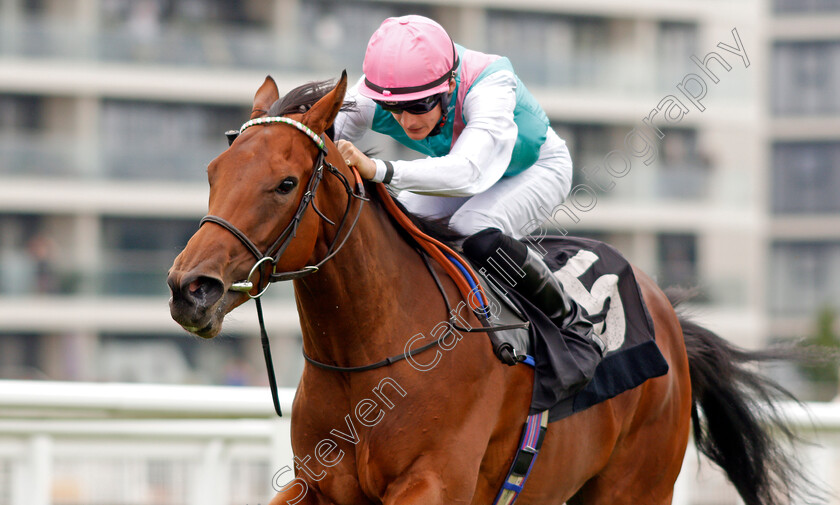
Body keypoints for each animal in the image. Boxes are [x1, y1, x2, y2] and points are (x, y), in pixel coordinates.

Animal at [169, 74, 812, 504]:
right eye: (213, 172)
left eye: (285, 183)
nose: (189, 288)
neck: (372, 353)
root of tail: (670, 318)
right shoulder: (318, 485)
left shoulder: (435, 483)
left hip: (635, 485)